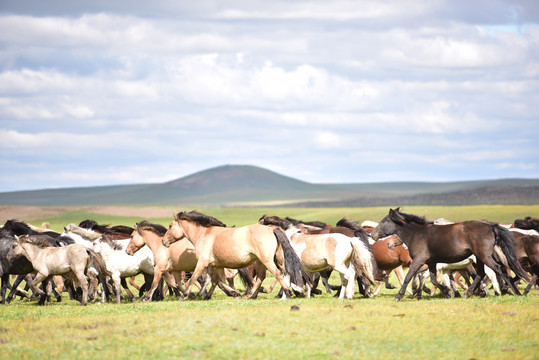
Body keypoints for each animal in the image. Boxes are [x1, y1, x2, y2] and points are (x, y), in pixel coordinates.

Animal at [161, 210, 304, 300]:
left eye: (170, 226)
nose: (163, 241)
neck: (205, 234)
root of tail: (271, 229)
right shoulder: (217, 265)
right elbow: (217, 281)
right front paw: (212, 295)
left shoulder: (202, 262)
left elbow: (195, 279)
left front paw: (185, 296)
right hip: (269, 261)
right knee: (266, 276)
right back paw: (250, 295)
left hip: (267, 260)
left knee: (278, 274)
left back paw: (287, 293)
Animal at [372, 208, 532, 300]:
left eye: (384, 221)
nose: (373, 235)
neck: (417, 234)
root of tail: (491, 226)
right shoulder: (431, 262)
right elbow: (434, 279)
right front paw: (448, 292)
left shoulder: (419, 260)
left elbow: (408, 277)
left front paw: (399, 296)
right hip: (479, 257)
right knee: (481, 273)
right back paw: (469, 293)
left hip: (484, 256)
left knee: (497, 269)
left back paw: (509, 291)